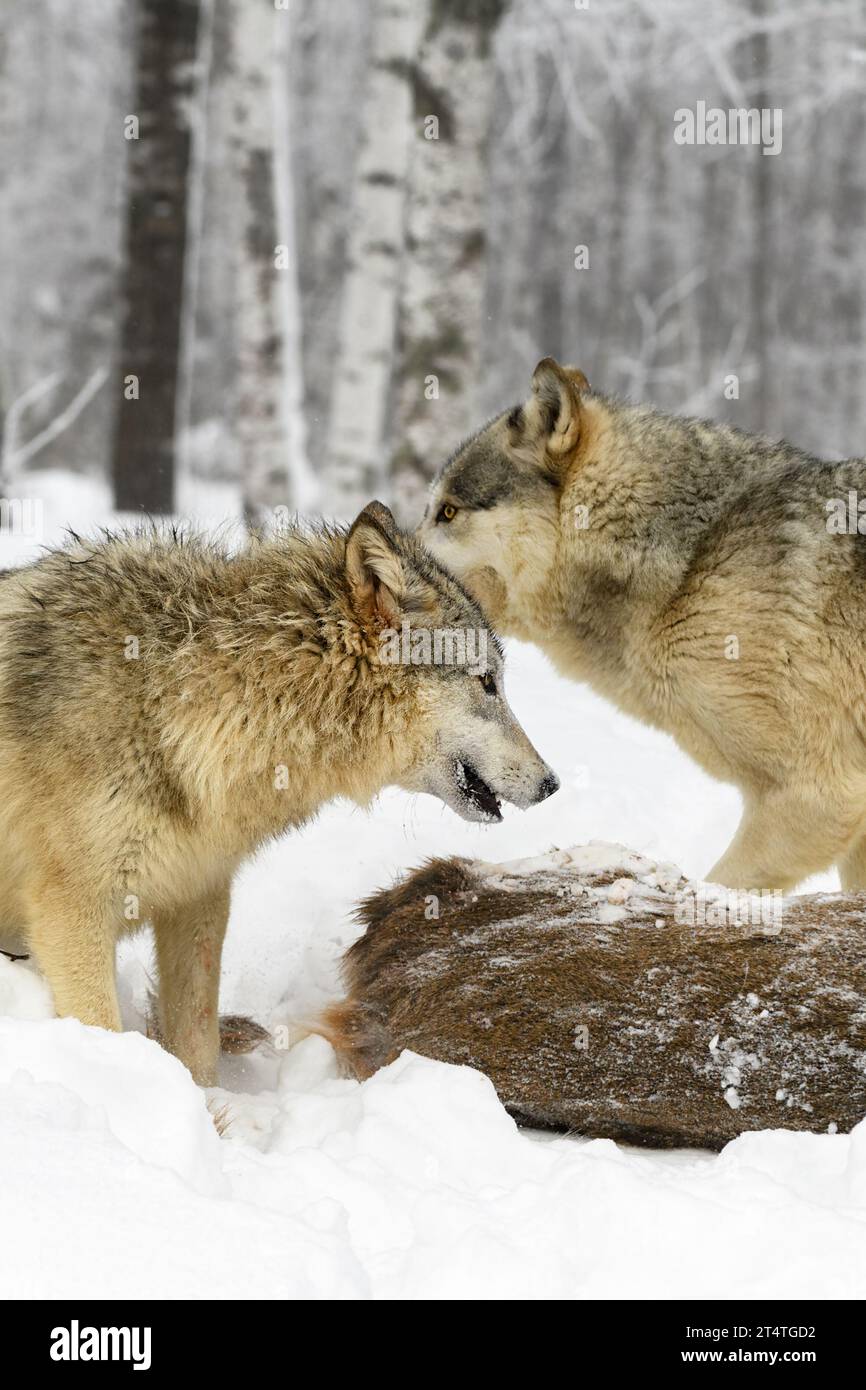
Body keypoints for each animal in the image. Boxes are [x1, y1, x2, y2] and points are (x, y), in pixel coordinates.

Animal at [0, 503, 556, 1084]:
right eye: (487, 682)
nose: (551, 783)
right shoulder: (72, 912)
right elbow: (105, 1033)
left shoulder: (198, 900)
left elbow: (197, 1041)